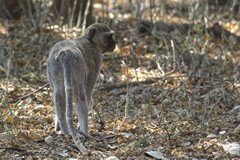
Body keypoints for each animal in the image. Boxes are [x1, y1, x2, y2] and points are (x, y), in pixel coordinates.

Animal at [46, 22, 116, 154]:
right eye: (109, 37)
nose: (114, 44)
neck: (89, 40)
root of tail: (64, 53)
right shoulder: (96, 59)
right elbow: (87, 93)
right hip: (78, 66)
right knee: (80, 96)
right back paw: (85, 133)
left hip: (53, 66)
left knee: (59, 95)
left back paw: (64, 131)